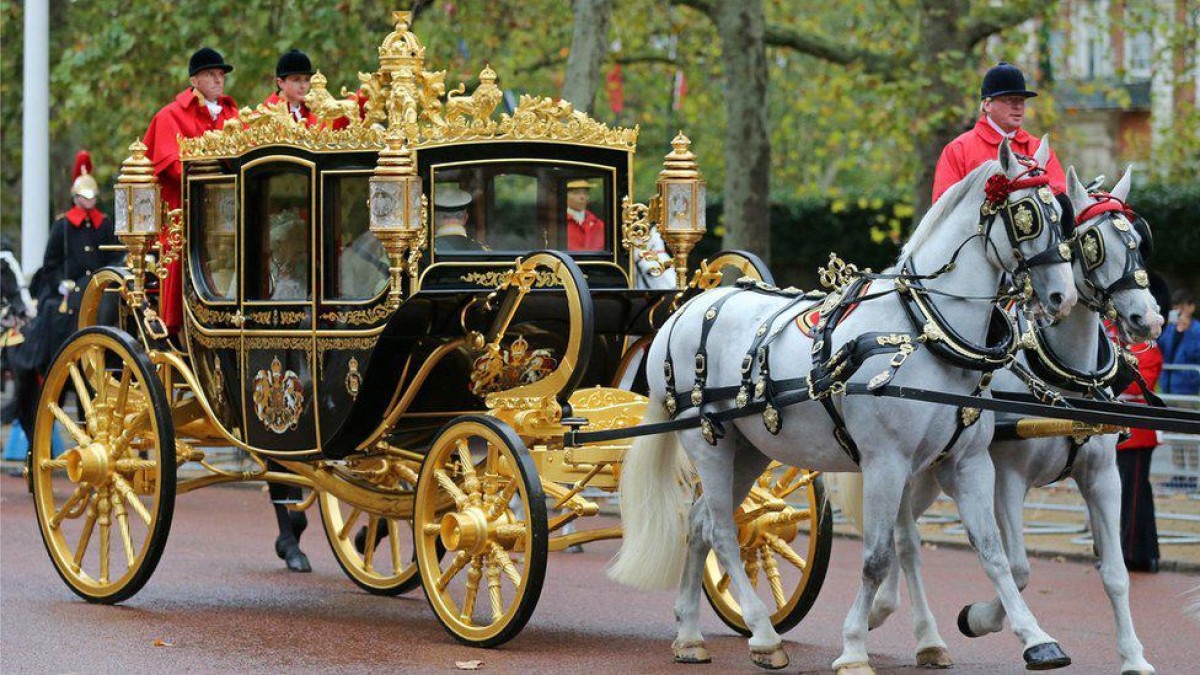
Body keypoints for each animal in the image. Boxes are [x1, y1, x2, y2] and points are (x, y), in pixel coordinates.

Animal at [609, 139, 1080, 667]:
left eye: (1063, 216)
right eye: (1026, 215)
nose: (1063, 297)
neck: (924, 330)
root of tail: (685, 309)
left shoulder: (966, 462)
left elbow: (990, 552)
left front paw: (1035, 638)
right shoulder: (885, 463)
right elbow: (876, 556)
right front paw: (854, 646)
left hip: (748, 451)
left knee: (699, 524)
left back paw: (689, 635)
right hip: (707, 442)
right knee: (723, 534)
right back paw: (764, 635)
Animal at [864, 165, 1161, 667]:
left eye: (1139, 240)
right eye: (1091, 242)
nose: (1150, 320)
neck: (1064, 378)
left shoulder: (1103, 476)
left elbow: (1116, 574)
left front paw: (1134, 658)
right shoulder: (1007, 478)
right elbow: (1019, 568)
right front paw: (980, 619)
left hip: (931, 475)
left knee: (904, 536)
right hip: (906, 467)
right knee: (905, 540)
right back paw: (907, 625)